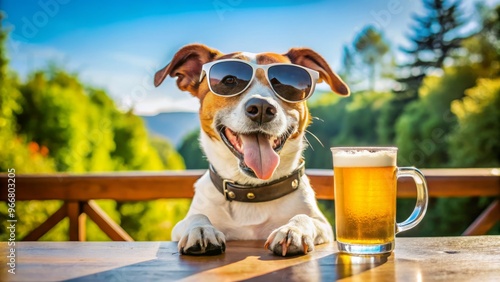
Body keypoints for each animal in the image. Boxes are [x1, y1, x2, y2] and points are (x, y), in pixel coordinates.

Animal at [154, 43, 350, 256]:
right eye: (229, 80)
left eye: (284, 83)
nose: (262, 107)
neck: (252, 191)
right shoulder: (178, 227)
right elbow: (196, 216)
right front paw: (201, 229)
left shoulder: (323, 225)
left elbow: (305, 218)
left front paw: (293, 229)